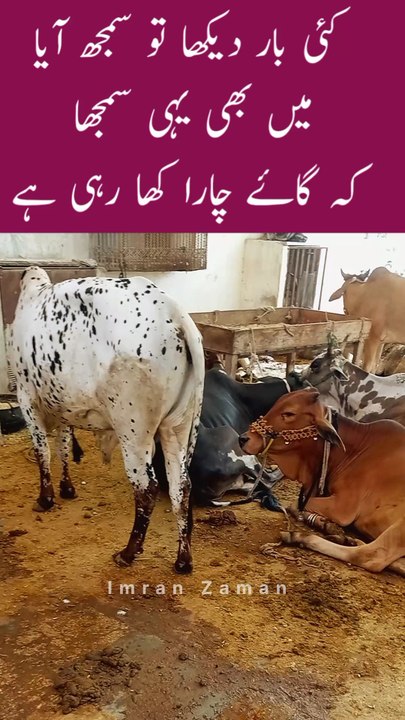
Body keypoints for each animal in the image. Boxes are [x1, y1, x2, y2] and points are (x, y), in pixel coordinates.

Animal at [8, 267, 205, 573]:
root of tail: (174, 312)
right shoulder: (62, 405)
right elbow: (64, 446)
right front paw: (67, 488)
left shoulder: (26, 396)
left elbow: (44, 452)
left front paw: (45, 498)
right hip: (177, 428)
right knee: (180, 488)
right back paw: (183, 561)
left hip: (133, 432)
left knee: (147, 489)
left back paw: (128, 552)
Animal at [239, 388, 405, 575]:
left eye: (289, 413)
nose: (243, 438)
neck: (352, 451)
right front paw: (326, 524)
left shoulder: (343, 508)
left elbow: (295, 504)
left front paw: (322, 523)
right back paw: (347, 539)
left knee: (371, 556)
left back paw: (299, 537)